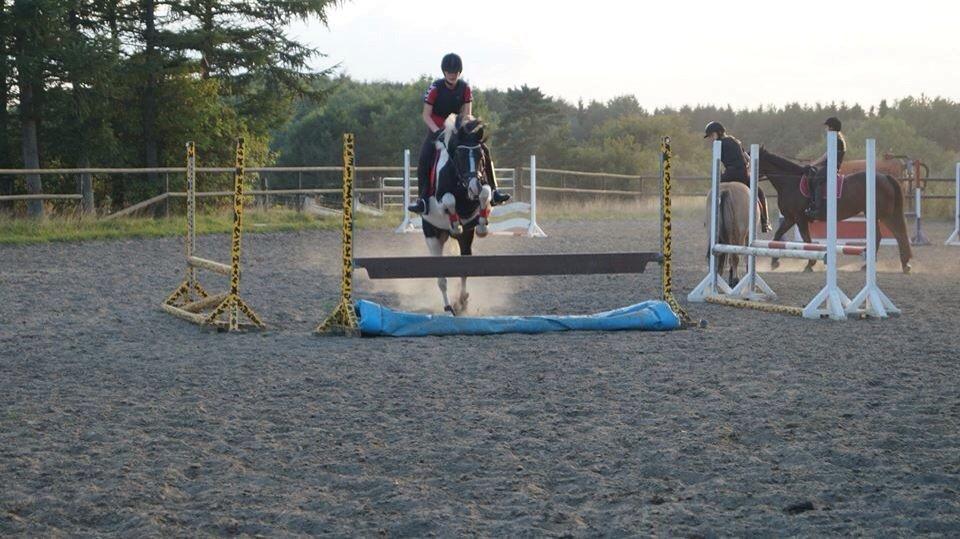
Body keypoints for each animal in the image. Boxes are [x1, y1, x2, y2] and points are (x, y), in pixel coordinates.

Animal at [752, 147, 912, 274]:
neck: (791, 182)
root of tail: (886, 177)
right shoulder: (790, 218)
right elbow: (777, 236)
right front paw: (774, 261)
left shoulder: (799, 218)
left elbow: (807, 240)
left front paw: (810, 264)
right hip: (884, 215)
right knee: (896, 235)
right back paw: (902, 264)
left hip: (881, 215)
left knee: (888, 235)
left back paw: (876, 265)